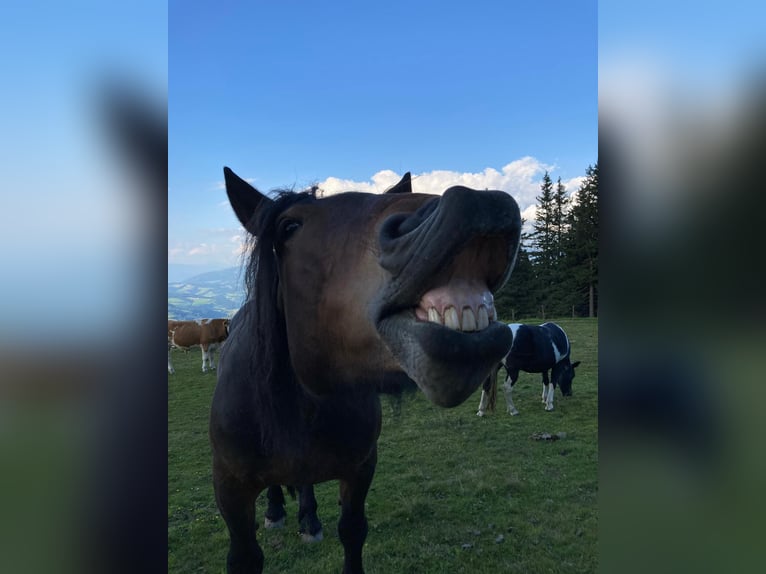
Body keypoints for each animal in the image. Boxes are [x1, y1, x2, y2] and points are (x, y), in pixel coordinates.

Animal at [208, 164, 520, 572]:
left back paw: (309, 520)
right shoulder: (229, 487)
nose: (481, 203)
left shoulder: (360, 468)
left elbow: (352, 530)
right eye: (289, 227)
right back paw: (276, 512)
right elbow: (245, 555)